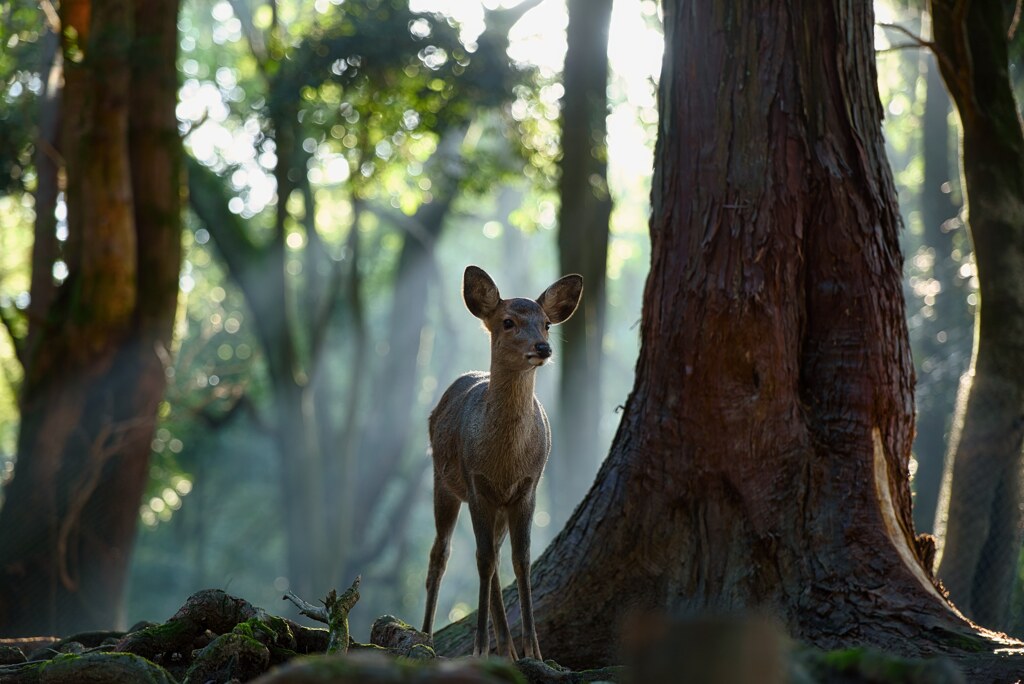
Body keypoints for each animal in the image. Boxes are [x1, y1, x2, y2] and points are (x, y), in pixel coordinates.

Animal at [421, 264, 585, 659]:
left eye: (546, 323)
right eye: (508, 322)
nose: (543, 348)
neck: (505, 461)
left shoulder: (528, 488)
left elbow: (520, 560)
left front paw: (535, 652)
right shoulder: (477, 484)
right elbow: (482, 561)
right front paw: (480, 649)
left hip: (496, 503)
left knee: (494, 555)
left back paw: (508, 648)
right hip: (443, 481)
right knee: (441, 555)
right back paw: (426, 636)